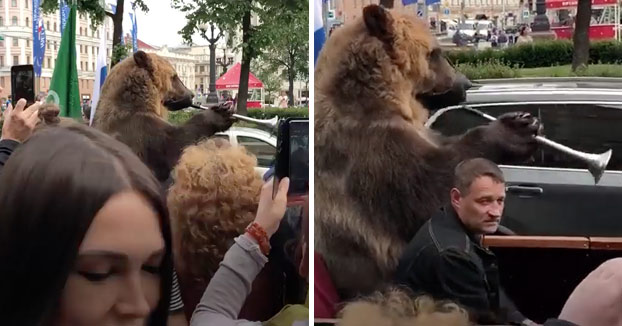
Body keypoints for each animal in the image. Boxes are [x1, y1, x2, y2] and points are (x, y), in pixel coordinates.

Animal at [316, 4, 540, 300]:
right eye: (435, 53)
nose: (465, 83)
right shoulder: (368, 154)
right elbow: (432, 193)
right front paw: (514, 130)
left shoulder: (419, 134)